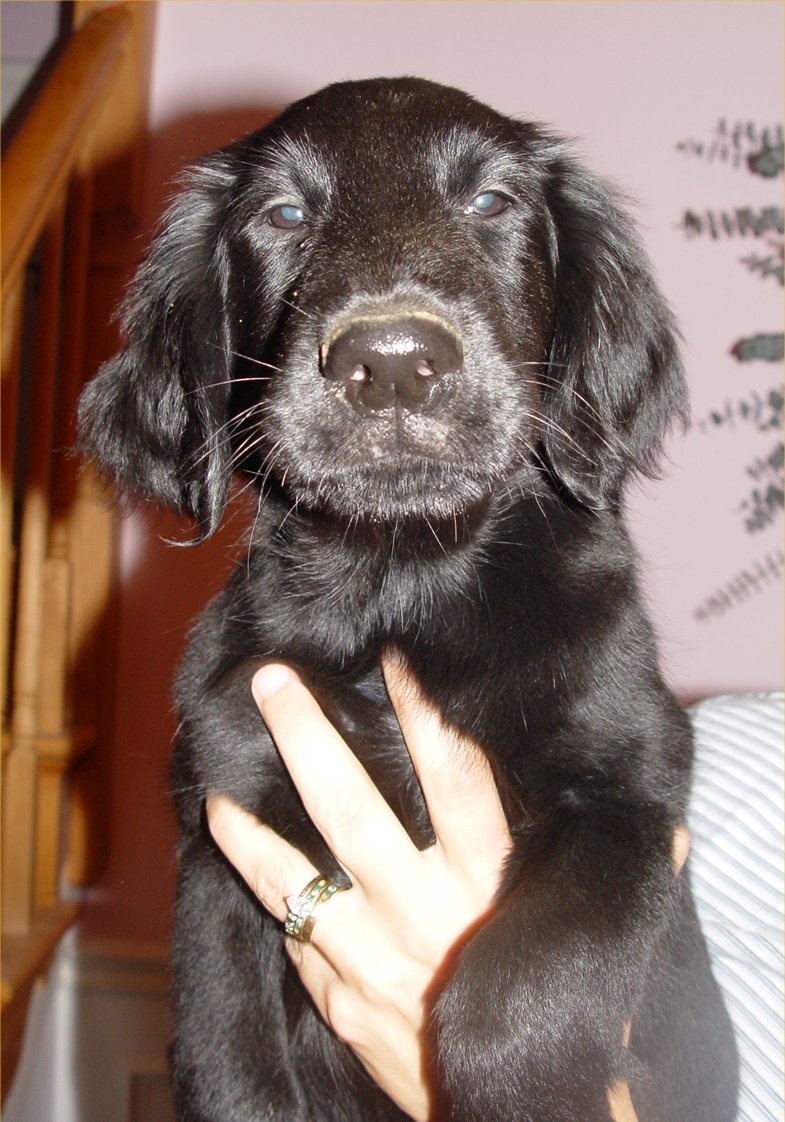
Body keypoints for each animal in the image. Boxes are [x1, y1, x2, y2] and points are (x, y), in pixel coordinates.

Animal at [79, 77, 738, 1122]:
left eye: (492, 203)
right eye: (283, 214)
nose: (391, 360)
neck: (400, 586)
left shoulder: (630, 790)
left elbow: (517, 1001)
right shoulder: (222, 838)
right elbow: (228, 1062)